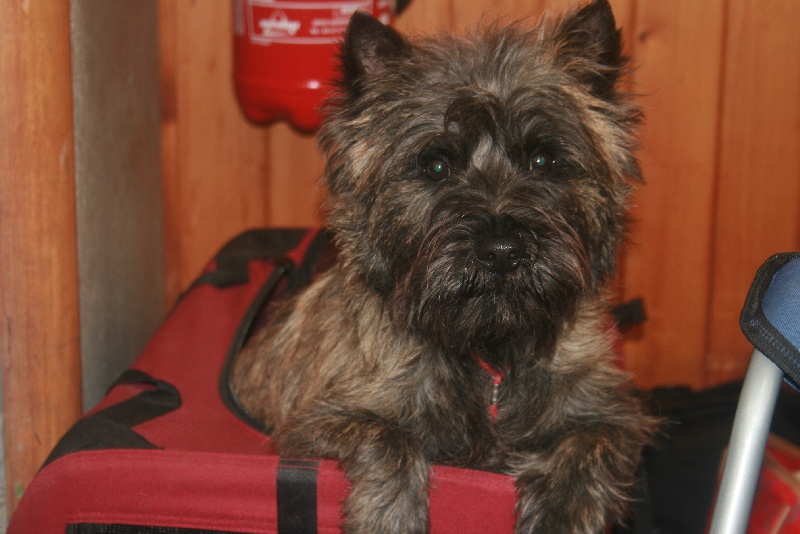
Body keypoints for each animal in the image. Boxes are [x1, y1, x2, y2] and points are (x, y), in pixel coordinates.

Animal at [233, 2, 656, 532]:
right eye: (435, 166)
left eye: (543, 160)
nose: (502, 250)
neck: (489, 356)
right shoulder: (310, 424)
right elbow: (389, 437)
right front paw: (389, 514)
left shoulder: (611, 412)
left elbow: (590, 443)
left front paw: (562, 510)